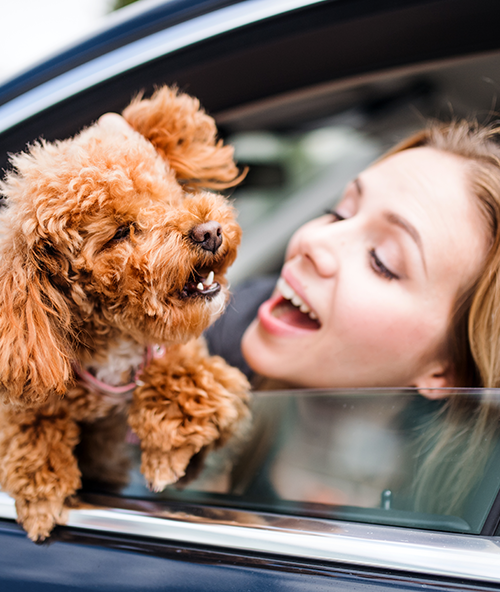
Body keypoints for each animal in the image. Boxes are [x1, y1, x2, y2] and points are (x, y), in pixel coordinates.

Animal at [0, 86, 250, 540]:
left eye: (168, 195)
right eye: (119, 233)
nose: (209, 232)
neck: (113, 339)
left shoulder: (186, 356)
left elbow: (184, 379)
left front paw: (166, 456)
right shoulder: (27, 383)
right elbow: (29, 426)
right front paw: (42, 493)